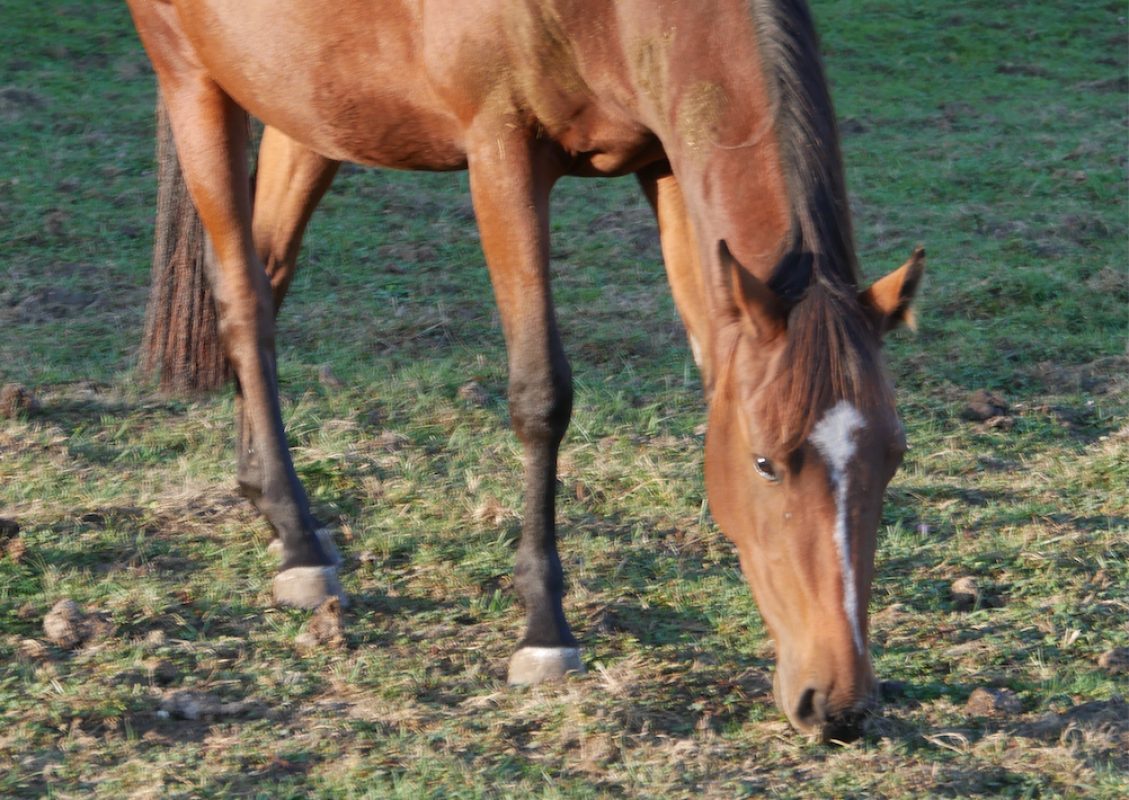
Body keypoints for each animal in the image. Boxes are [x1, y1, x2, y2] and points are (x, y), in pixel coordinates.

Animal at [126, 0, 924, 741]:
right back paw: (295, 541)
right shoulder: (501, 151)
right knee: (243, 299)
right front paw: (544, 631)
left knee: (270, 270)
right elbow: (542, 393)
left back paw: (268, 495)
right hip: (193, 80)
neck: (610, 17)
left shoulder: (663, 160)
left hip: (303, 104)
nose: (841, 705)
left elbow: (709, 356)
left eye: (892, 457)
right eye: (764, 463)